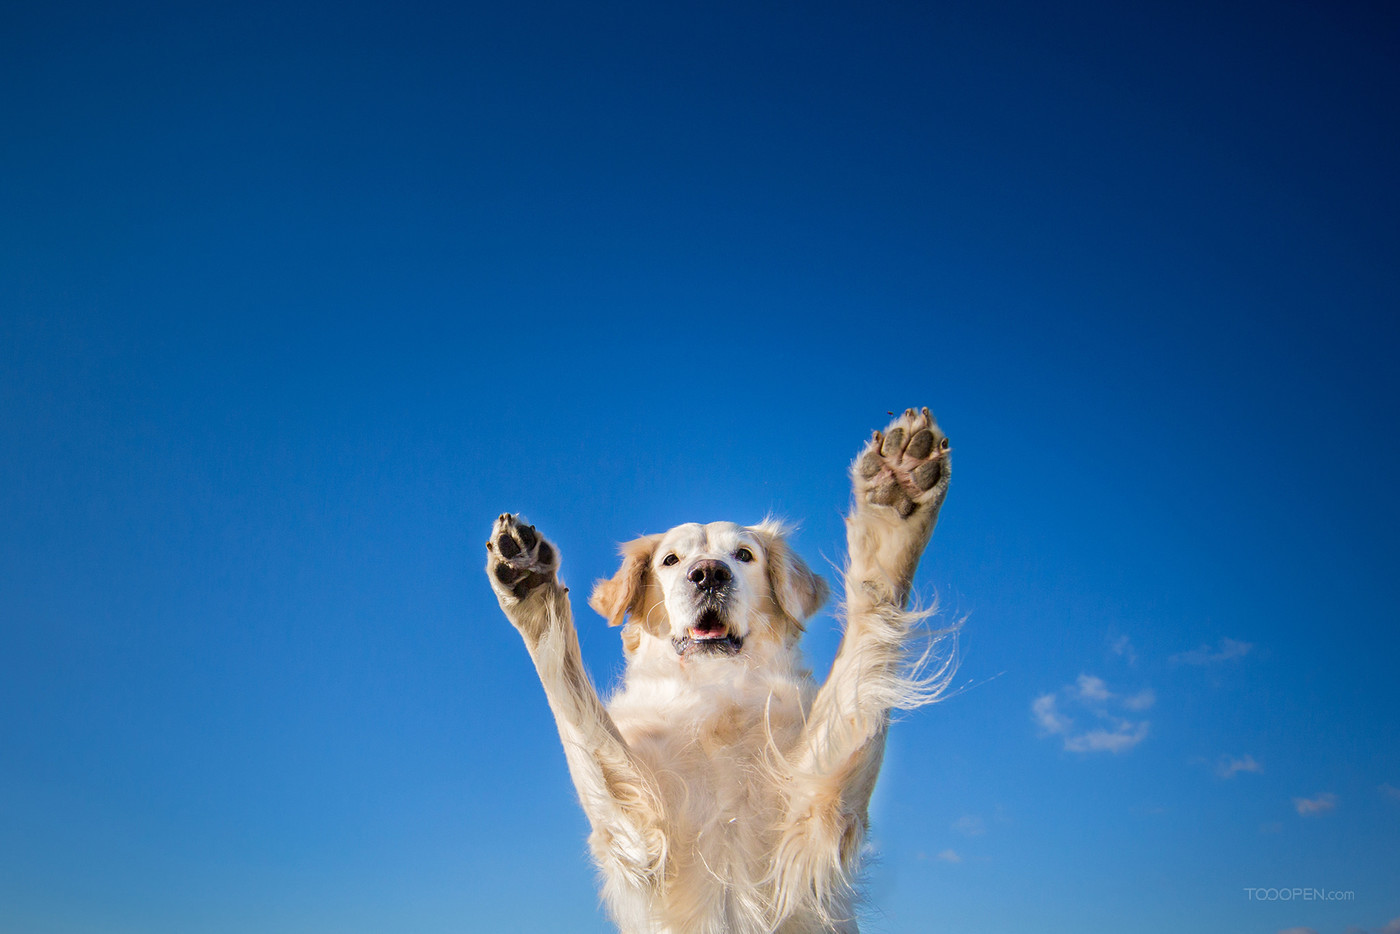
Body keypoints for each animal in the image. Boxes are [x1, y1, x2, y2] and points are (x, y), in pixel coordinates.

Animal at [487, 408, 957, 934]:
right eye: (671, 560)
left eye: (744, 555)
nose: (709, 573)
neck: (715, 693)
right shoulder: (638, 832)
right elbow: (573, 703)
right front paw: (532, 588)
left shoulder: (811, 810)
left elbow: (865, 643)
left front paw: (895, 500)